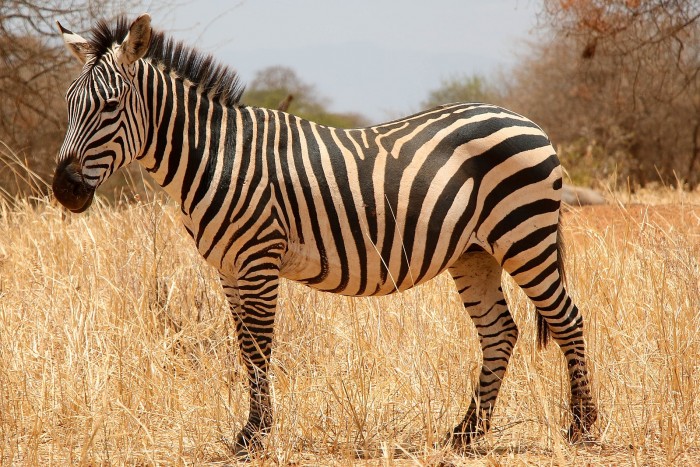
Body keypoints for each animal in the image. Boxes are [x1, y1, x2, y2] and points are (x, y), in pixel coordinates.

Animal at [53, 13, 596, 458]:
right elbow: (243, 347)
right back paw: (466, 434)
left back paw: (583, 428)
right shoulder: (229, 268)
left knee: (567, 319)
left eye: (109, 105)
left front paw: (255, 436)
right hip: (476, 253)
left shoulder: (258, 259)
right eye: (69, 104)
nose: (64, 190)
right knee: (500, 332)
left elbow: (258, 348)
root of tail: (527, 121)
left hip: (524, 234)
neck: (217, 154)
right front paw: (250, 432)